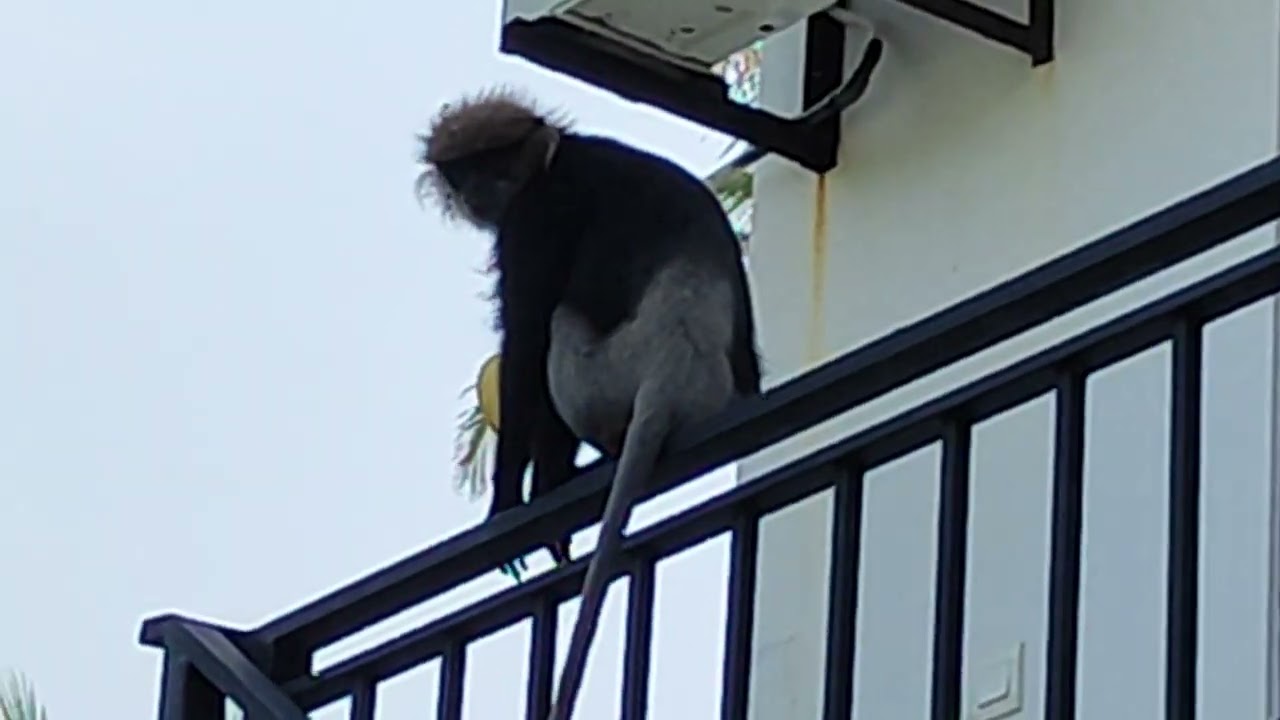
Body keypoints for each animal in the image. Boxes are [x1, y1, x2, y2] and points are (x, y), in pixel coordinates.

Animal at [416, 86, 763, 719]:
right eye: (464, 172)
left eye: (495, 162)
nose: (479, 191)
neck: (558, 155)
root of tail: (671, 369)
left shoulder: (536, 215)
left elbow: (526, 338)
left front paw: (507, 507)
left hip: (598, 378)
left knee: (555, 323)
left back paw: (556, 479)